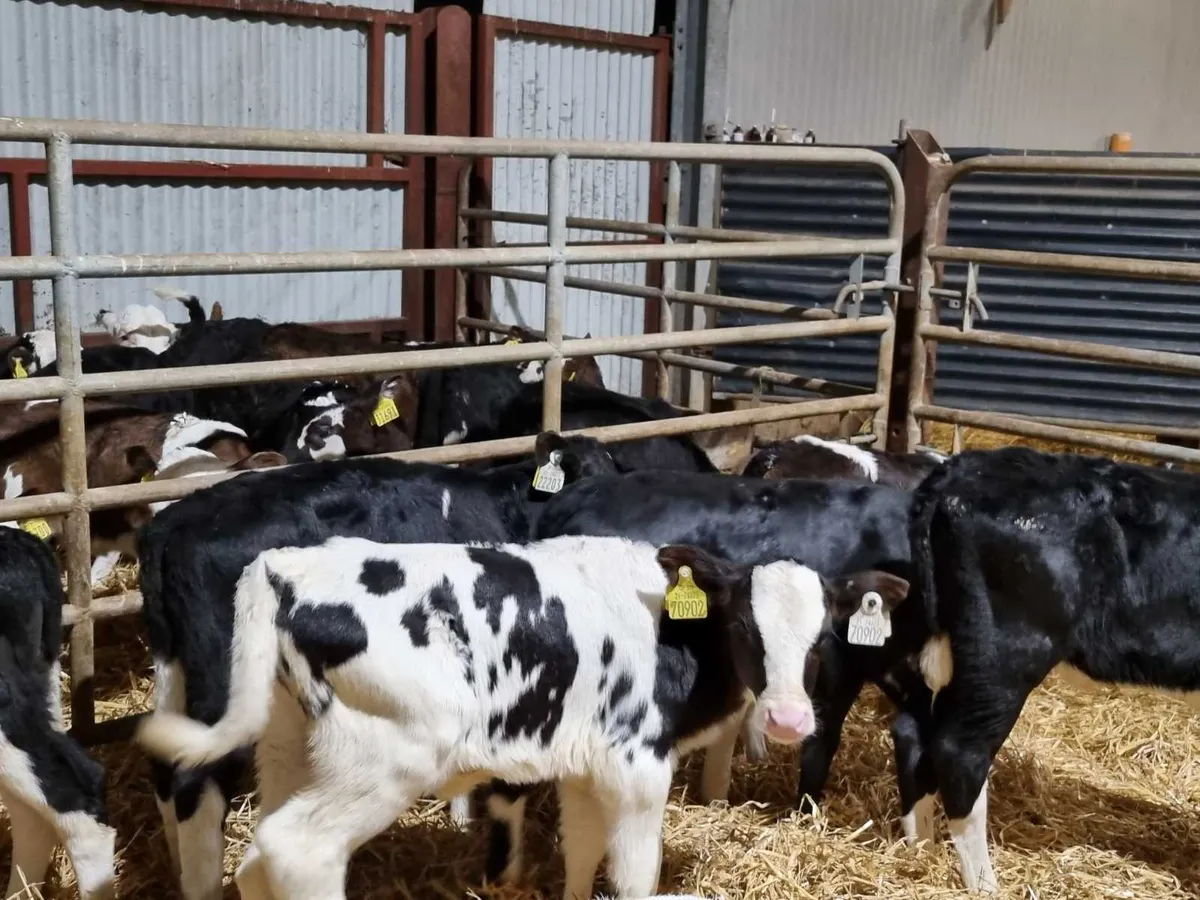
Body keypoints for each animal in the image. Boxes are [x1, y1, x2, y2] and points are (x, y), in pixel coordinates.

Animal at [137, 534, 909, 900]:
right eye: (746, 626)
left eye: (823, 634)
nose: (788, 721)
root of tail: (284, 566)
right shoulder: (638, 767)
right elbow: (633, 873)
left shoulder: (586, 766)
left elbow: (582, 853)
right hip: (385, 758)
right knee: (299, 850)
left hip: (287, 745)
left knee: (257, 859)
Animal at [907, 447, 1200, 894]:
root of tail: (962, 468)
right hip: (1008, 651)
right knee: (959, 751)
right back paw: (986, 885)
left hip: (940, 647)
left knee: (913, 734)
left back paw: (917, 849)